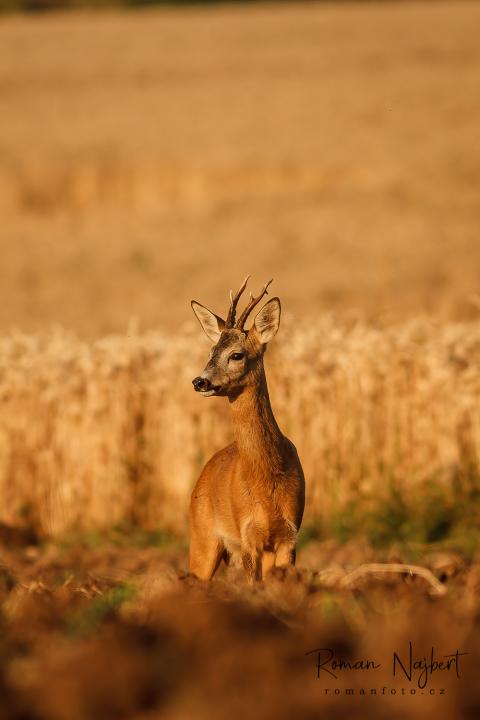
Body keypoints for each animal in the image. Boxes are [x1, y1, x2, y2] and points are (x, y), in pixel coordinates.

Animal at [190, 274, 306, 580]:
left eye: (237, 355)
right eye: (211, 350)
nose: (199, 381)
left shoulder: (289, 535)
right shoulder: (247, 537)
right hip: (202, 538)